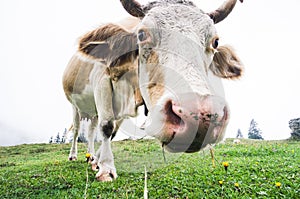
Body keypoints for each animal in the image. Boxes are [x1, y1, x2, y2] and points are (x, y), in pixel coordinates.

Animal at [62, 0, 243, 182]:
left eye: (215, 42)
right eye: (141, 35)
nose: (200, 116)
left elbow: (112, 132)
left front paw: (99, 162)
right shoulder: (102, 82)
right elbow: (107, 126)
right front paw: (106, 169)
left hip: (93, 111)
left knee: (91, 131)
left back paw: (91, 157)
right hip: (74, 106)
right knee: (77, 130)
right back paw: (73, 155)